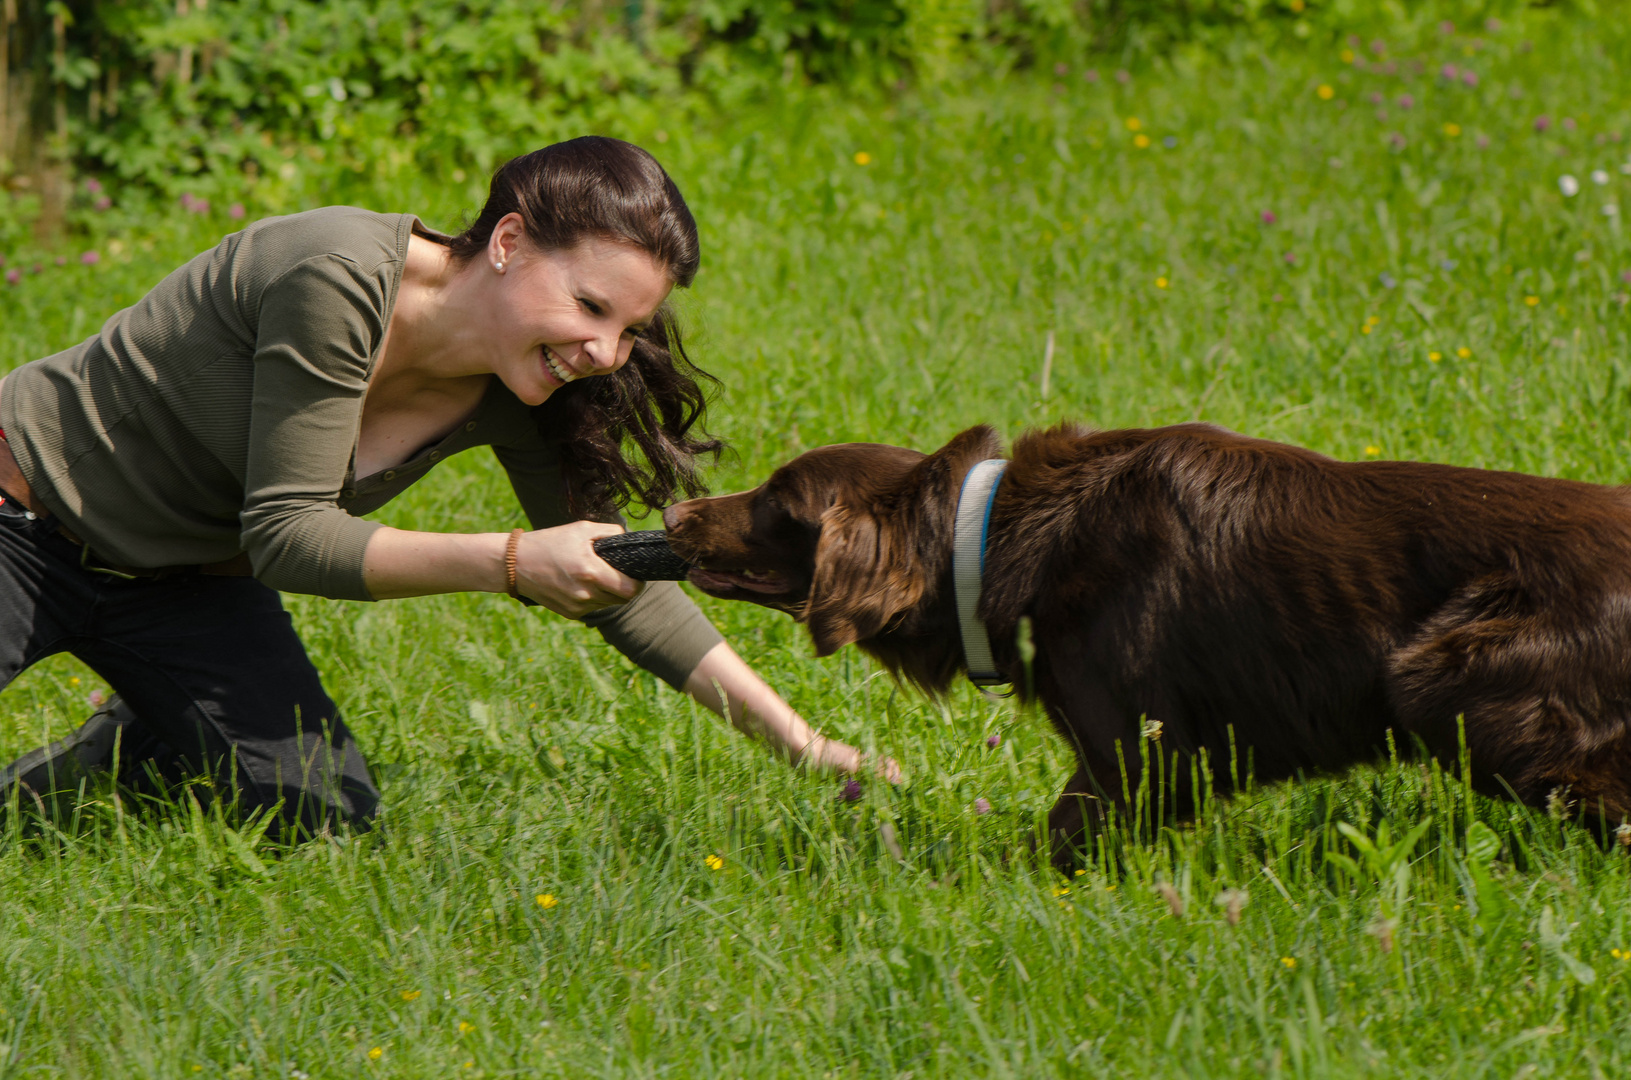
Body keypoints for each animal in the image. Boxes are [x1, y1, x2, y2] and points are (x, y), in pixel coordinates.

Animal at [655, 424, 1631, 861]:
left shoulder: (1136, 752)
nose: (673, 513)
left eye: (775, 503)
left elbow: (1053, 842)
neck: (994, 538)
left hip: (1442, 680)